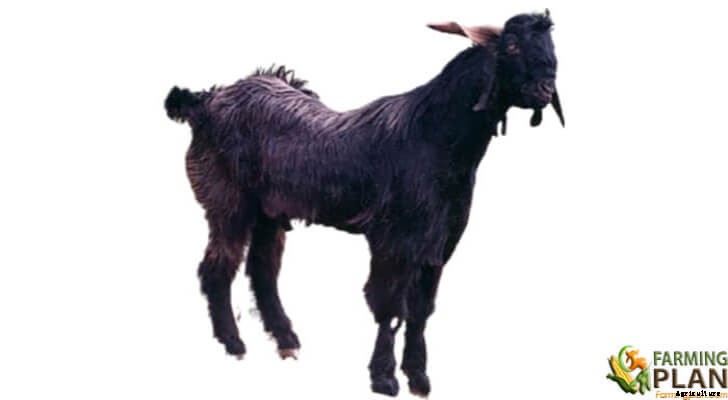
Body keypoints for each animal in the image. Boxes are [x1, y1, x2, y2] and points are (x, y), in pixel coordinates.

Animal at [164, 11, 563, 397]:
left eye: (550, 46)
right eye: (511, 45)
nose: (545, 89)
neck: (434, 136)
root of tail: (205, 102)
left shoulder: (439, 244)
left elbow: (420, 310)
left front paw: (418, 377)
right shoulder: (393, 239)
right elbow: (389, 306)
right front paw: (383, 378)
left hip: (269, 214)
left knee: (262, 269)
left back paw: (286, 339)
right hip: (228, 204)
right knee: (217, 268)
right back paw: (233, 343)